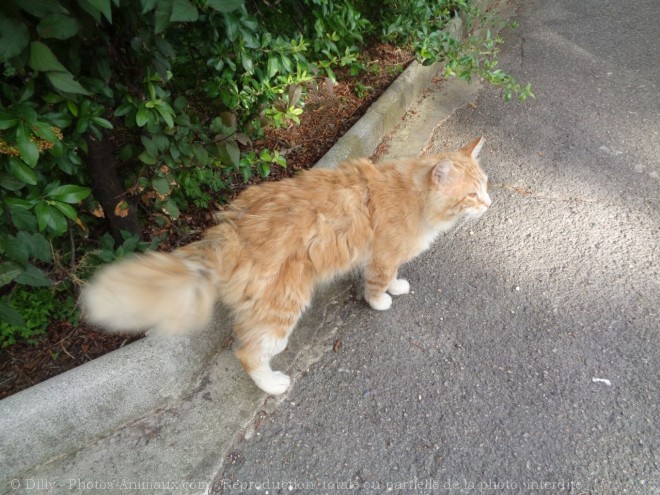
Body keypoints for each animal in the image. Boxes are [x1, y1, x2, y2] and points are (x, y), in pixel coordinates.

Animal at [82, 136, 490, 396]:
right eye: (472, 194)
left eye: (485, 185)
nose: (488, 204)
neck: (413, 195)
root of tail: (227, 232)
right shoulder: (383, 256)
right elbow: (377, 284)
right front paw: (382, 301)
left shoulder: (381, 256)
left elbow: (390, 277)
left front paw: (397, 286)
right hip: (282, 308)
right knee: (248, 352)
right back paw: (274, 384)